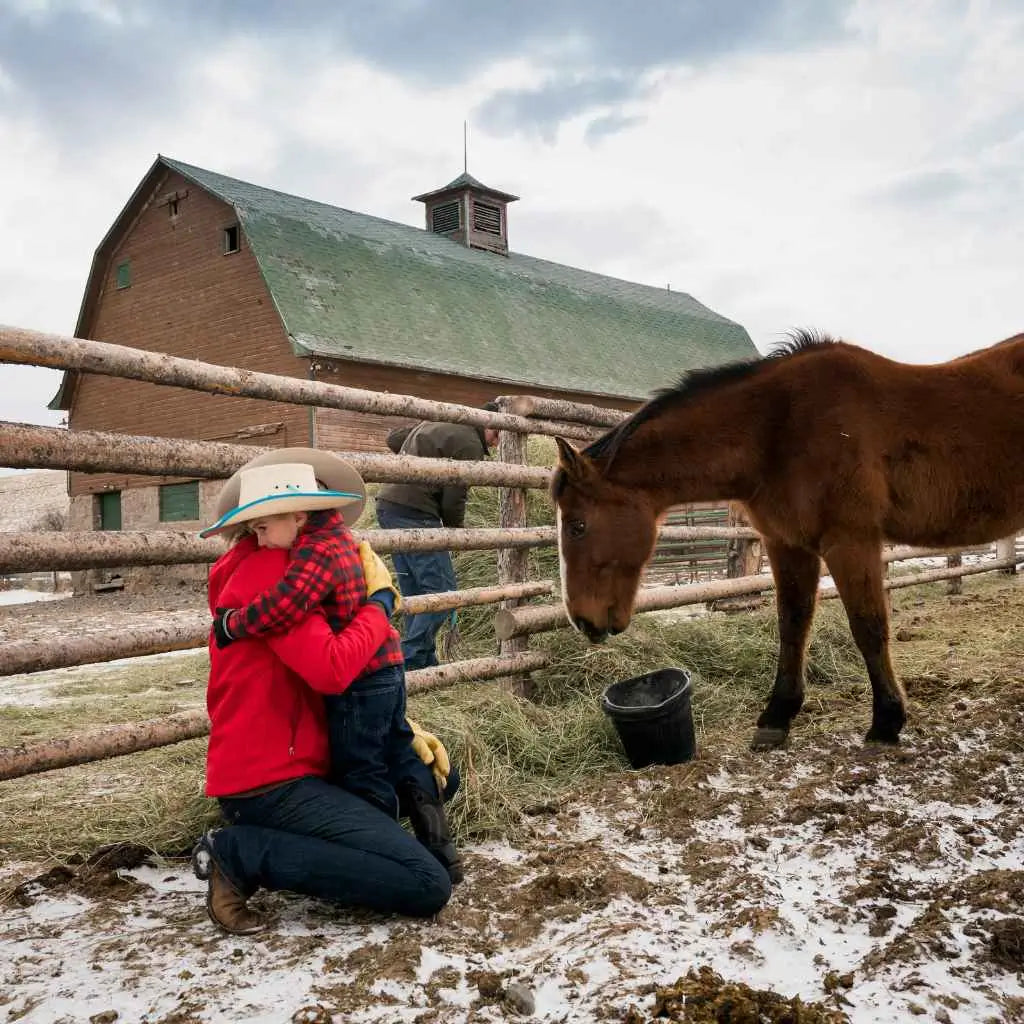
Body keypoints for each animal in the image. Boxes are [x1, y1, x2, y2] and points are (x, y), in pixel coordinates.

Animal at [552, 329, 1024, 750]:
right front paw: (777, 717)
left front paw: (886, 722)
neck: (778, 427)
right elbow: (792, 625)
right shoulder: (787, 544)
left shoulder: (850, 541)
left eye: (577, 525)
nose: (583, 620)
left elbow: (869, 627)